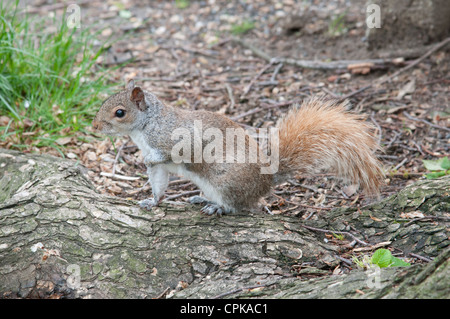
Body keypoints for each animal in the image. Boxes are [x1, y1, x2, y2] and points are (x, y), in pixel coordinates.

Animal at [91, 80, 384, 216]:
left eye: (119, 112)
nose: (94, 125)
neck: (147, 126)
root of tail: (265, 181)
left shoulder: (178, 140)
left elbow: (178, 153)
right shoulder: (158, 167)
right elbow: (158, 183)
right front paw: (151, 201)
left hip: (226, 180)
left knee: (239, 207)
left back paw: (218, 208)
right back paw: (203, 199)